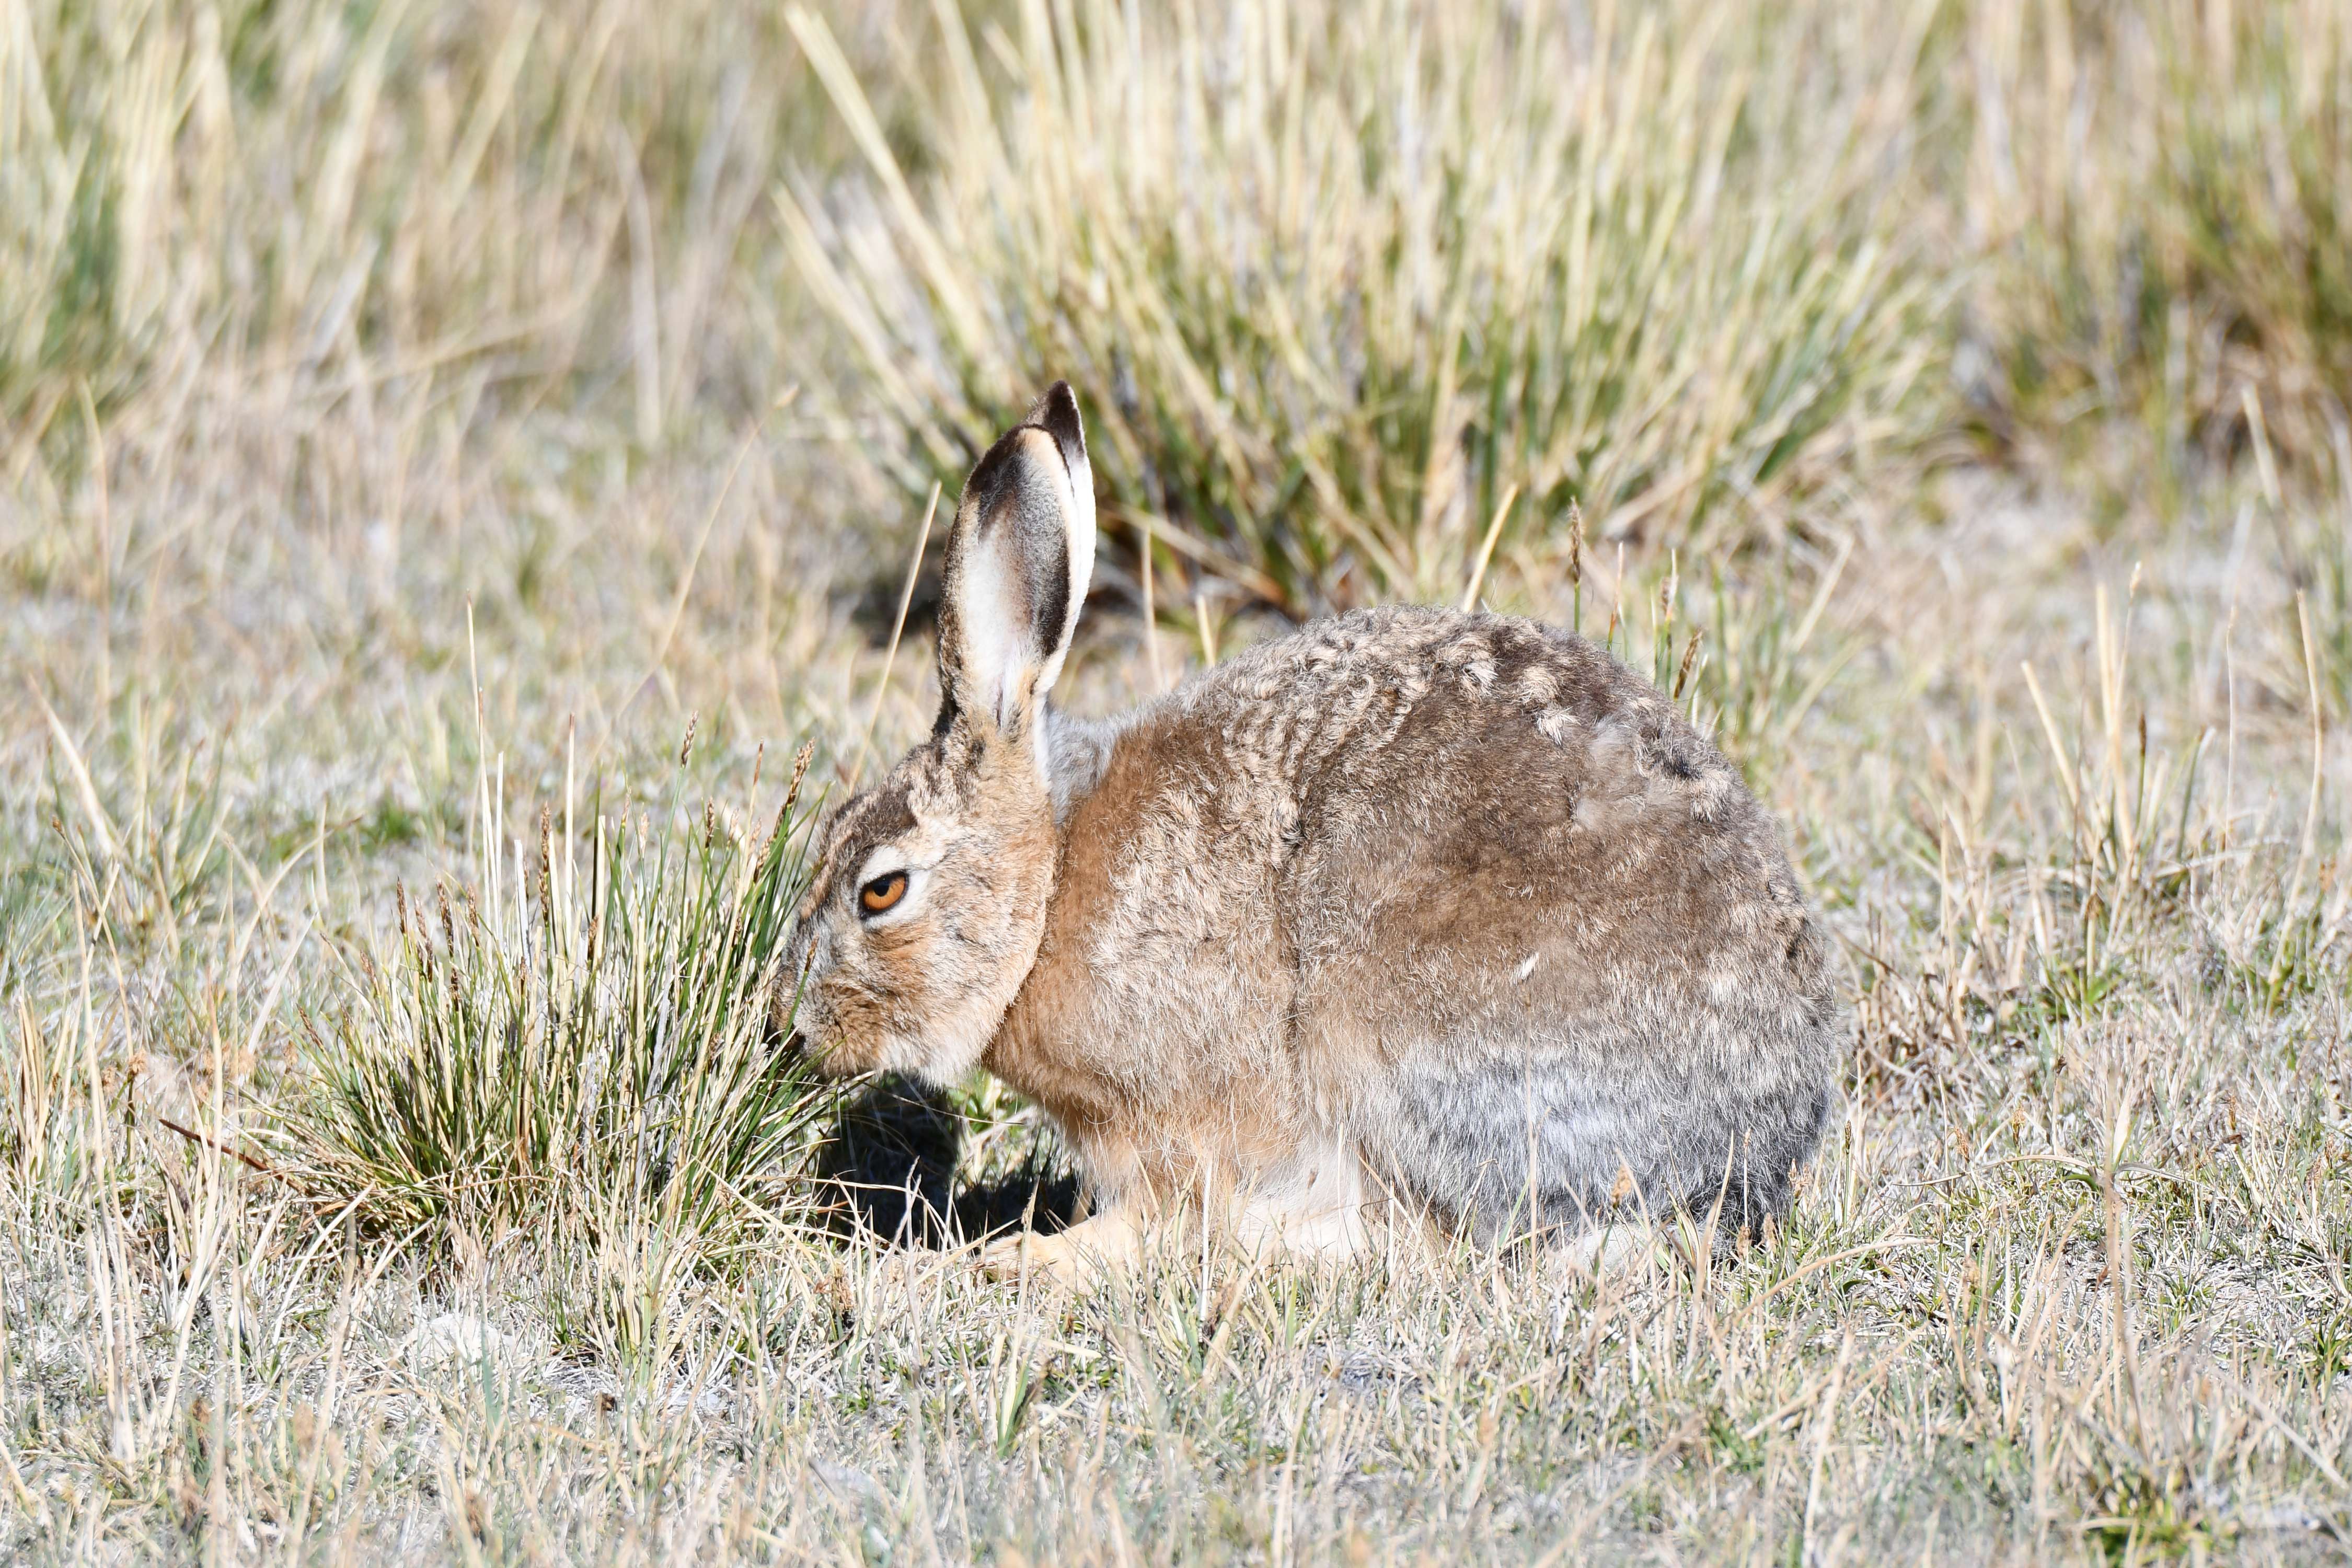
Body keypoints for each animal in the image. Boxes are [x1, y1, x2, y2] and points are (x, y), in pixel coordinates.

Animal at [778, 382, 1843, 1282]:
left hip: (1395, 1040)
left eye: (881, 890)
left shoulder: (1172, 1123)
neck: (1045, 893)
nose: (797, 1030)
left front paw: (1005, 1263)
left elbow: (1151, 1218)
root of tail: (1747, 1155)